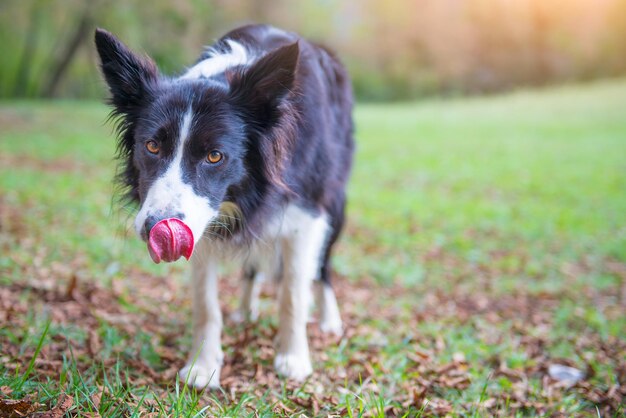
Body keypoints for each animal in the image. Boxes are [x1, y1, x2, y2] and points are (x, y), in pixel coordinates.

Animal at [95, 24, 354, 386]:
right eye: (152, 146)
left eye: (215, 156)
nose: (153, 228)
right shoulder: (200, 224)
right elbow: (206, 304)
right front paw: (202, 367)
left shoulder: (306, 214)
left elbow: (292, 293)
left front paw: (293, 359)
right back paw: (245, 310)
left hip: (336, 204)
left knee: (322, 266)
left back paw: (329, 320)